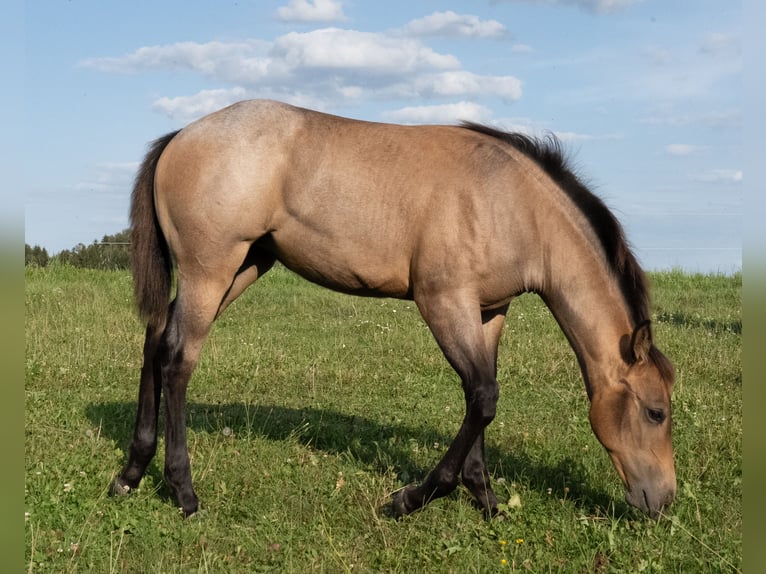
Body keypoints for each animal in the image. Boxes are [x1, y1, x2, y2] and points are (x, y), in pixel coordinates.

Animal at [112, 99, 676, 520]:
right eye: (657, 411)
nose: (664, 499)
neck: (512, 202)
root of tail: (182, 134)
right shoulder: (443, 302)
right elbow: (483, 396)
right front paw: (413, 498)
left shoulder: (489, 312)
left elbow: (484, 394)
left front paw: (485, 497)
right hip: (211, 271)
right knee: (178, 360)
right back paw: (183, 491)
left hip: (245, 266)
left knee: (155, 340)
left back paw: (131, 474)